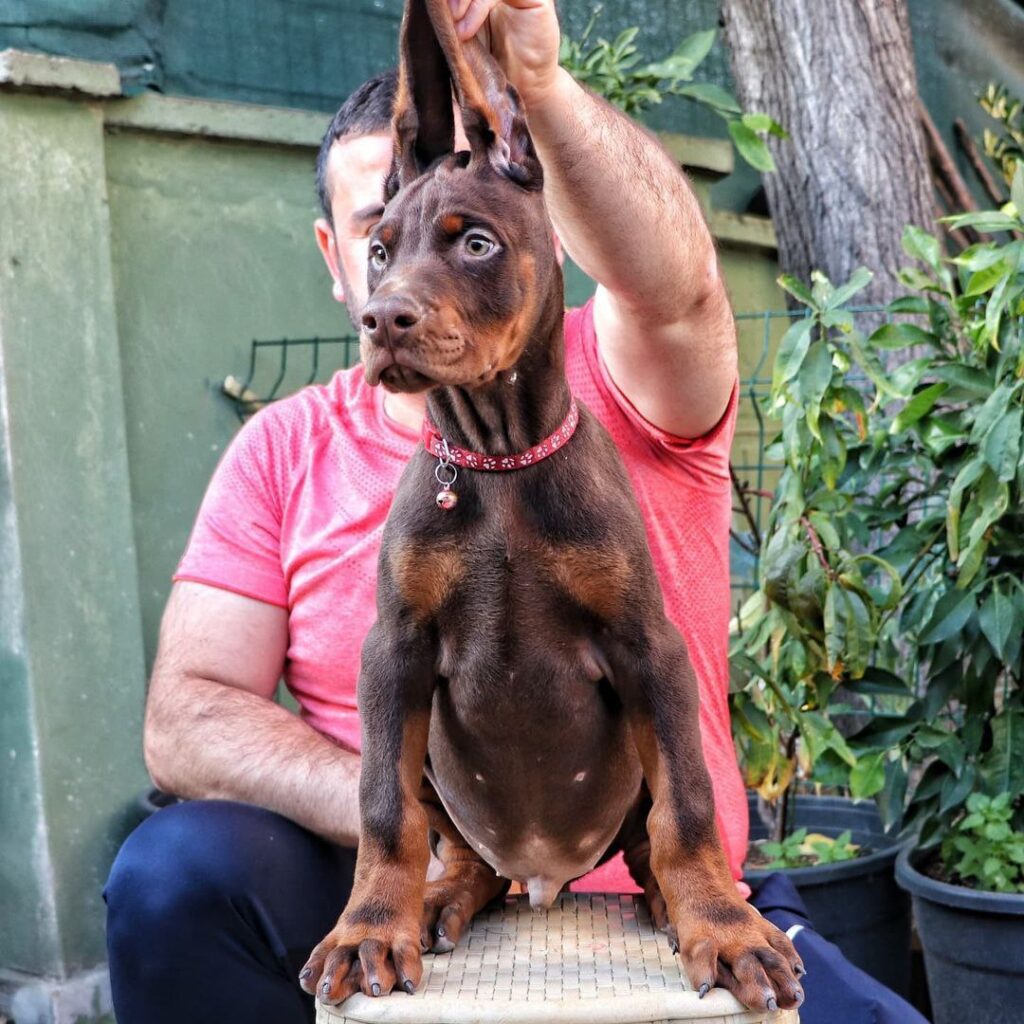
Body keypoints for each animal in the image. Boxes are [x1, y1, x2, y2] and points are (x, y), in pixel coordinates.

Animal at [299, 0, 802, 1011]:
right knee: (460, 850)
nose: (384, 322)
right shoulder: (394, 652)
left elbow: (691, 809)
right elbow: (382, 808)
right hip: (441, 768)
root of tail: (545, 874)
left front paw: (726, 930)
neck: (496, 463)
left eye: (476, 243)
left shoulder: (648, 648)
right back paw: (442, 899)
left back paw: (677, 905)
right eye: (379, 250)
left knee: (651, 843)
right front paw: (368, 927)